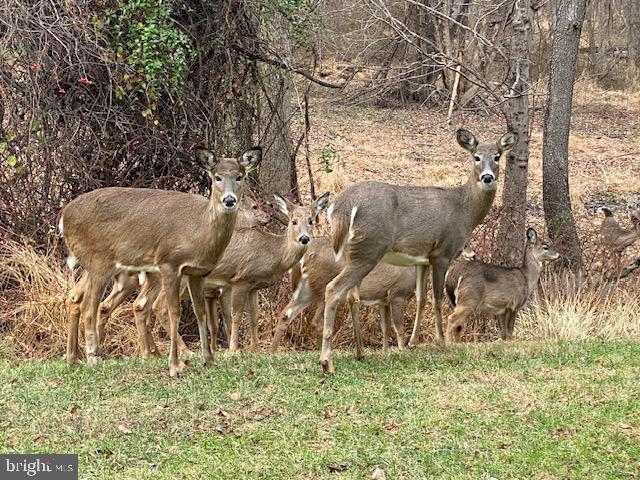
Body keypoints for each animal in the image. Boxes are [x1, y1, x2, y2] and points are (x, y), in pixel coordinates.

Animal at [58, 144, 262, 376]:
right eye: (217, 177)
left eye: (240, 176)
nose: (229, 200)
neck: (199, 231)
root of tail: (64, 216)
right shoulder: (169, 263)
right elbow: (173, 312)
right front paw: (174, 367)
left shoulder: (197, 272)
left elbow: (200, 313)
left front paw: (209, 360)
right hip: (101, 260)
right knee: (89, 307)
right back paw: (94, 358)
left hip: (91, 264)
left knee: (74, 297)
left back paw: (73, 359)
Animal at [268, 236, 416, 352]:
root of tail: (305, 256)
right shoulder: (397, 294)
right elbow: (399, 327)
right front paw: (402, 351)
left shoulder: (383, 299)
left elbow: (385, 328)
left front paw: (385, 352)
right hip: (324, 286)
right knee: (316, 321)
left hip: (307, 291)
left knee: (286, 314)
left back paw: (273, 352)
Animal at [318, 129, 516, 374]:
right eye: (476, 157)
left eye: (497, 156)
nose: (488, 177)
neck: (464, 210)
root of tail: (341, 207)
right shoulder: (442, 253)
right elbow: (437, 299)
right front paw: (441, 342)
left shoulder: (422, 259)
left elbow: (421, 298)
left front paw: (413, 343)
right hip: (369, 249)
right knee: (333, 289)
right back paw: (327, 362)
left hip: (351, 253)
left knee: (350, 295)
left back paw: (359, 353)